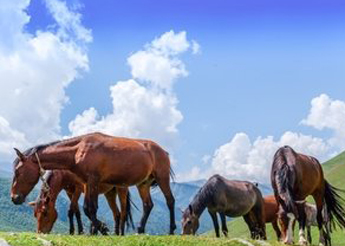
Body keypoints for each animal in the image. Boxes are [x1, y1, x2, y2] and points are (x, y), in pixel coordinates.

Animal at [9, 133, 176, 234]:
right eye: (35, 214)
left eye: (18, 172)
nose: (14, 198)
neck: (77, 151)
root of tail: (163, 151)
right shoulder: (86, 184)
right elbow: (85, 209)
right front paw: (96, 229)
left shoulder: (90, 182)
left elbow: (90, 209)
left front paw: (101, 229)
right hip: (142, 184)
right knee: (147, 205)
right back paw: (140, 229)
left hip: (159, 179)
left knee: (168, 201)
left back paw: (171, 230)